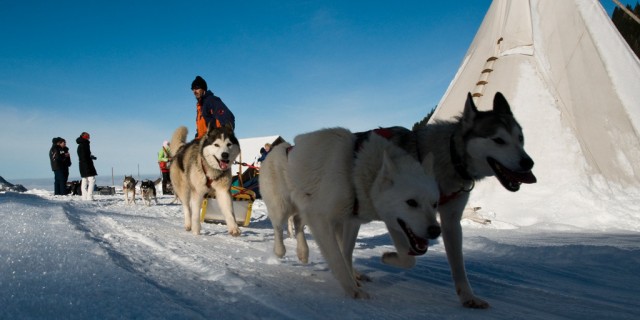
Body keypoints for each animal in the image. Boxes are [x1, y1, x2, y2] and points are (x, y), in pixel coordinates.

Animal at [262, 127, 442, 298]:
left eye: (435, 204)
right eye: (411, 202)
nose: (435, 230)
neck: (356, 170)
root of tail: (279, 148)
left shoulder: (355, 222)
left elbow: (407, 259)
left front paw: (387, 257)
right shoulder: (320, 219)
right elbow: (337, 258)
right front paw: (352, 290)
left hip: (318, 216)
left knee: (299, 223)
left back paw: (306, 254)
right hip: (283, 208)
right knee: (279, 228)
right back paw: (280, 250)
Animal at [390, 92, 536, 308]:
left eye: (520, 138)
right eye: (498, 140)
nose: (528, 163)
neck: (451, 158)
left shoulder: (450, 220)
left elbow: (458, 264)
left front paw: (468, 297)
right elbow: (406, 256)